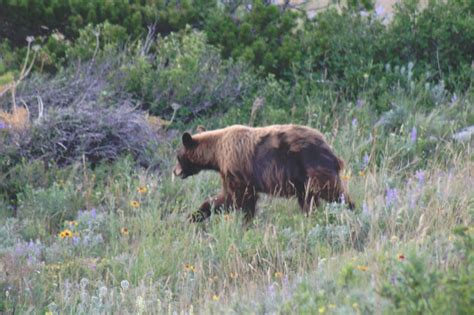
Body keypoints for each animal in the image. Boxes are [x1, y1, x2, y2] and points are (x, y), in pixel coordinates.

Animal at [174, 123, 356, 222]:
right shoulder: (228, 174)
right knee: (309, 200)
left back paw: (351, 209)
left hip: (314, 166)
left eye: (177, 156)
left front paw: (246, 223)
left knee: (333, 192)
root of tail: (327, 145)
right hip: (303, 181)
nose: (175, 172)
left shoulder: (237, 170)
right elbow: (224, 198)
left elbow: (240, 199)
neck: (217, 153)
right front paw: (193, 216)